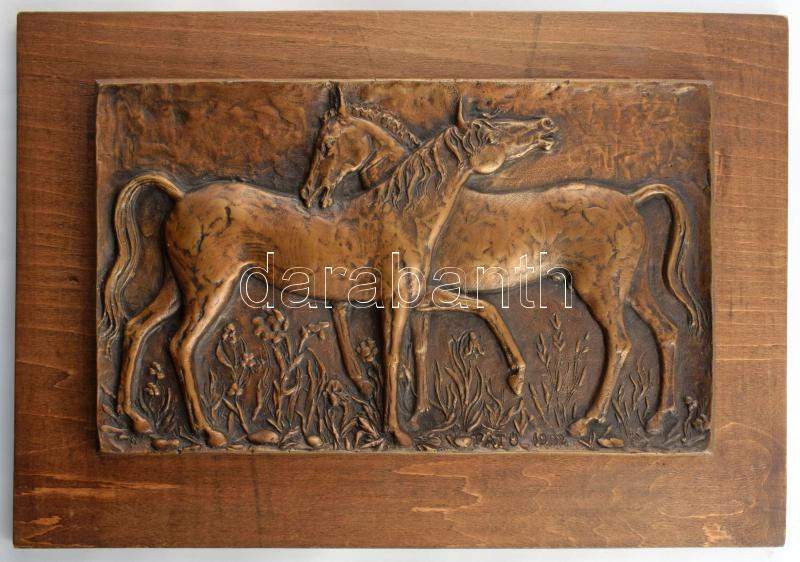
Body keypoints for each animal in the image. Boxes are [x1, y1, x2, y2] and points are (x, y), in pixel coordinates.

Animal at [99, 96, 557, 447]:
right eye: (490, 133)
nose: (547, 126)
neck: (401, 213)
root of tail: (180, 196)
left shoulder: (415, 295)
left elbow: (482, 310)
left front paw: (515, 377)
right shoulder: (395, 299)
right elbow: (391, 356)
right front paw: (397, 431)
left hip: (179, 287)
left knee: (137, 327)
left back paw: (135, 417)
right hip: (208, 291)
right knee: (179, 344)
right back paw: (207, 431)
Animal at [301, 92, 705, 439]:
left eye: (326, 145)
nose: (309, 192)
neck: (418, 205)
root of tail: (631, 198)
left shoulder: (418, 291)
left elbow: (362, 320)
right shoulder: (418, 298)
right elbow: (418, 347)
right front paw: (417, 414)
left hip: (601, 290)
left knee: (620, 342)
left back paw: (586, 421)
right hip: (632, 288)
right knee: (666, 331)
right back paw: (658, 418)